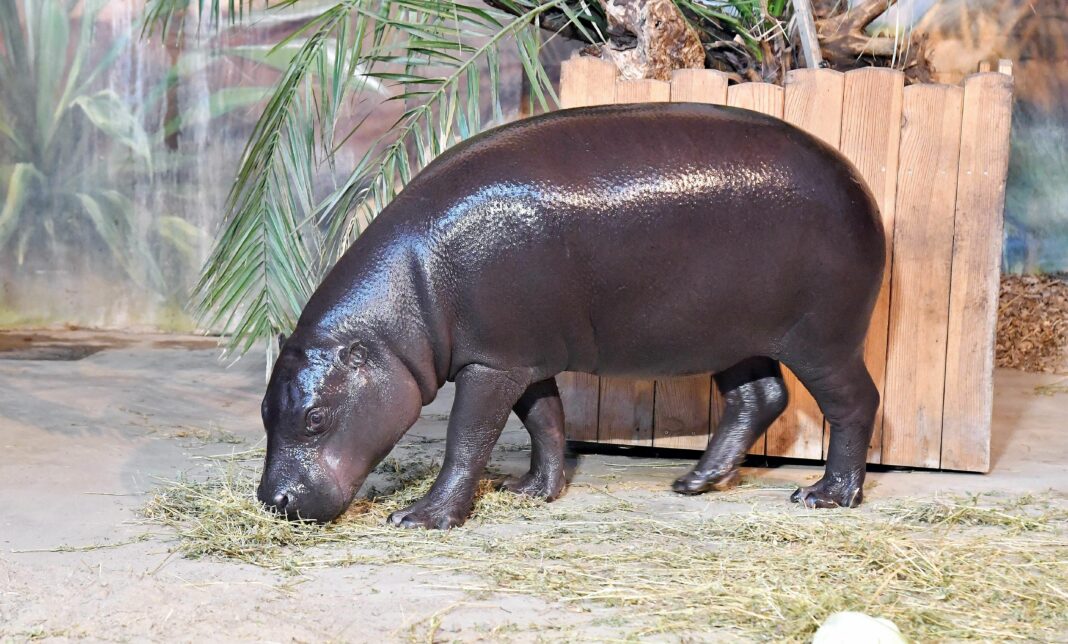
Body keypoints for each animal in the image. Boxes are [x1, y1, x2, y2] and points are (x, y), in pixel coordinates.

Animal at [258, 103, 884, 529]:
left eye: (315, 418)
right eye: (265, 411)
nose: (272, 501)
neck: (401, 311)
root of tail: (857, 180)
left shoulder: (492, 365)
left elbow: (467, 438)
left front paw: (421, 518)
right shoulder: (524, 358)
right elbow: (546, 421)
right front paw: (534, 490)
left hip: (823, 340)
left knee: (855, 402)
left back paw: (826, 496)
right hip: (733, 336)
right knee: (758, 398)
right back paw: (695, 482)